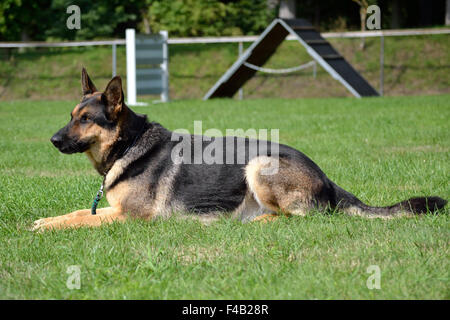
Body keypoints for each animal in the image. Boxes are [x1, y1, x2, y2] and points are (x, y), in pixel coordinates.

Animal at [32, 69, 446, 231]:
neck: (130, 145)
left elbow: (82, 220)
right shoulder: (113, 210)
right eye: (71, 116)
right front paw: (45, 221)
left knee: (302, 217)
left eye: (86, 119)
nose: (52, 140)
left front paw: (49, 226)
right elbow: (75, 213)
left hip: (259, 164)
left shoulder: (131, 217)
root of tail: (327, 179)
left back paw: (252, 223)